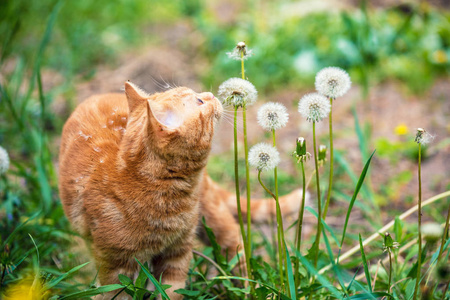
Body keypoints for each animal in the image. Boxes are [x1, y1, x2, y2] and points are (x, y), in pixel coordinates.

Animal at [57, 81, 302, 298]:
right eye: (199, 101)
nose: (210, 94)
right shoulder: (114, 268)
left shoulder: (178, 252)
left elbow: (172, 292)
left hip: (212, 215)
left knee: (236, 246)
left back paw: (251, 286)